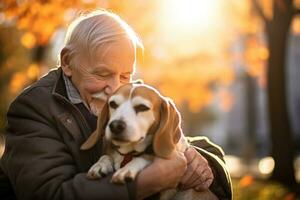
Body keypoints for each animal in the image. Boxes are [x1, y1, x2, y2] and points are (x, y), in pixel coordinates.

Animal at [81, 82, 219, 199]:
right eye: (113, 104)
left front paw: (127, 169)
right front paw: (100, 164)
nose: (115, 126)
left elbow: (145, 157)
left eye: (142, 107)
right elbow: (105, 156)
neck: (128, 153)